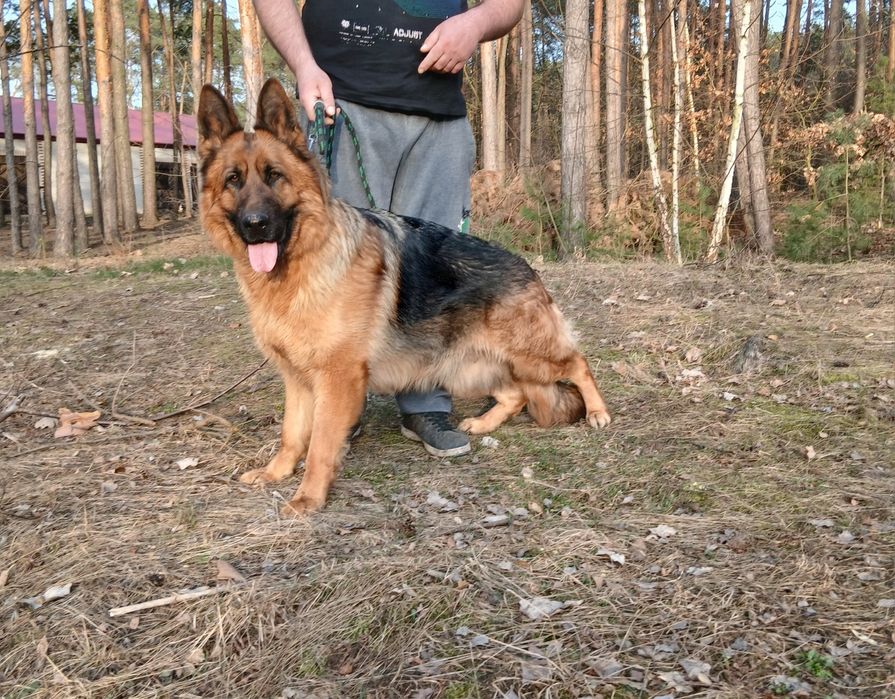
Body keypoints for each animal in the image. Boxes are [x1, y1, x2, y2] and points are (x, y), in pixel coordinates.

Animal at [197, 79, 611, 515]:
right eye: (233, 180)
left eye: (274, 176)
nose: (255, 225)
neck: (299, 269)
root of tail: (527, 268)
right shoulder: (297, 380)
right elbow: (292, 434)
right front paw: (276, 473)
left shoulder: (337, 379)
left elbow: (321, 444)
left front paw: (309, 495)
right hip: (468, 367)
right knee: (515, 394)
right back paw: (483, 423)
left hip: (529, 355)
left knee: (578, 363)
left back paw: (598, 412)